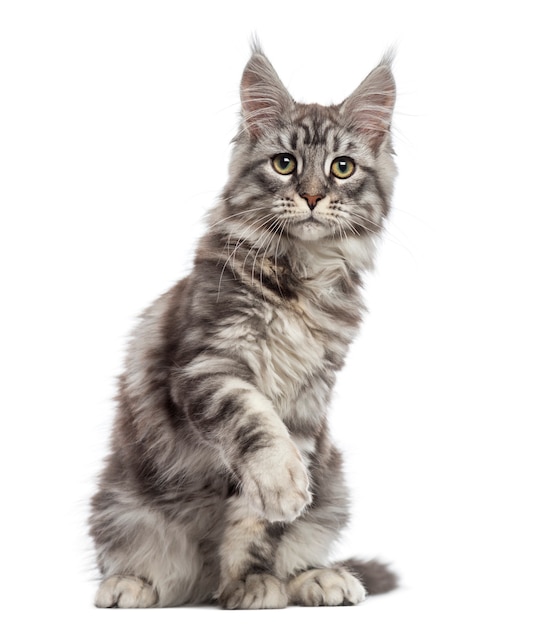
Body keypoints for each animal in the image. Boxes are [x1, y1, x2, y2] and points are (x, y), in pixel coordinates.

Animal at [91, 41, 402, 608]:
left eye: (342, 167)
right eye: (285, 163)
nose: (312, 196)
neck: (300, 278)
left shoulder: (306, 405)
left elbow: (256, 523)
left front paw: (250, 581)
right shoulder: (208, 364)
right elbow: (254, 421)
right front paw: (281, 481)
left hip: (333, 490)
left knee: (299, 549)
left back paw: (317, 579)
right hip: (122, 505)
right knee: (154, 568)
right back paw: (131, 585)